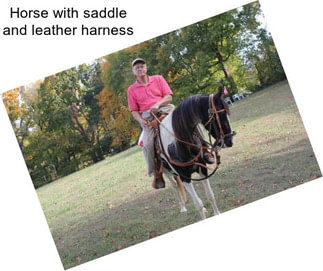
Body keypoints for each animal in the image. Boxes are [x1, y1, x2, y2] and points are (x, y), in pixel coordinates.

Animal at [155, 87, 234, 221]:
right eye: (221, 114)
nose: (230, 141)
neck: (181, 144)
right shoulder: (185, 177)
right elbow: (198, 203)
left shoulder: (203, 169)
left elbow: (210, 195)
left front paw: (216, 213)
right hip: (166, 172)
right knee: (175, 187)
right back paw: (182, 208)